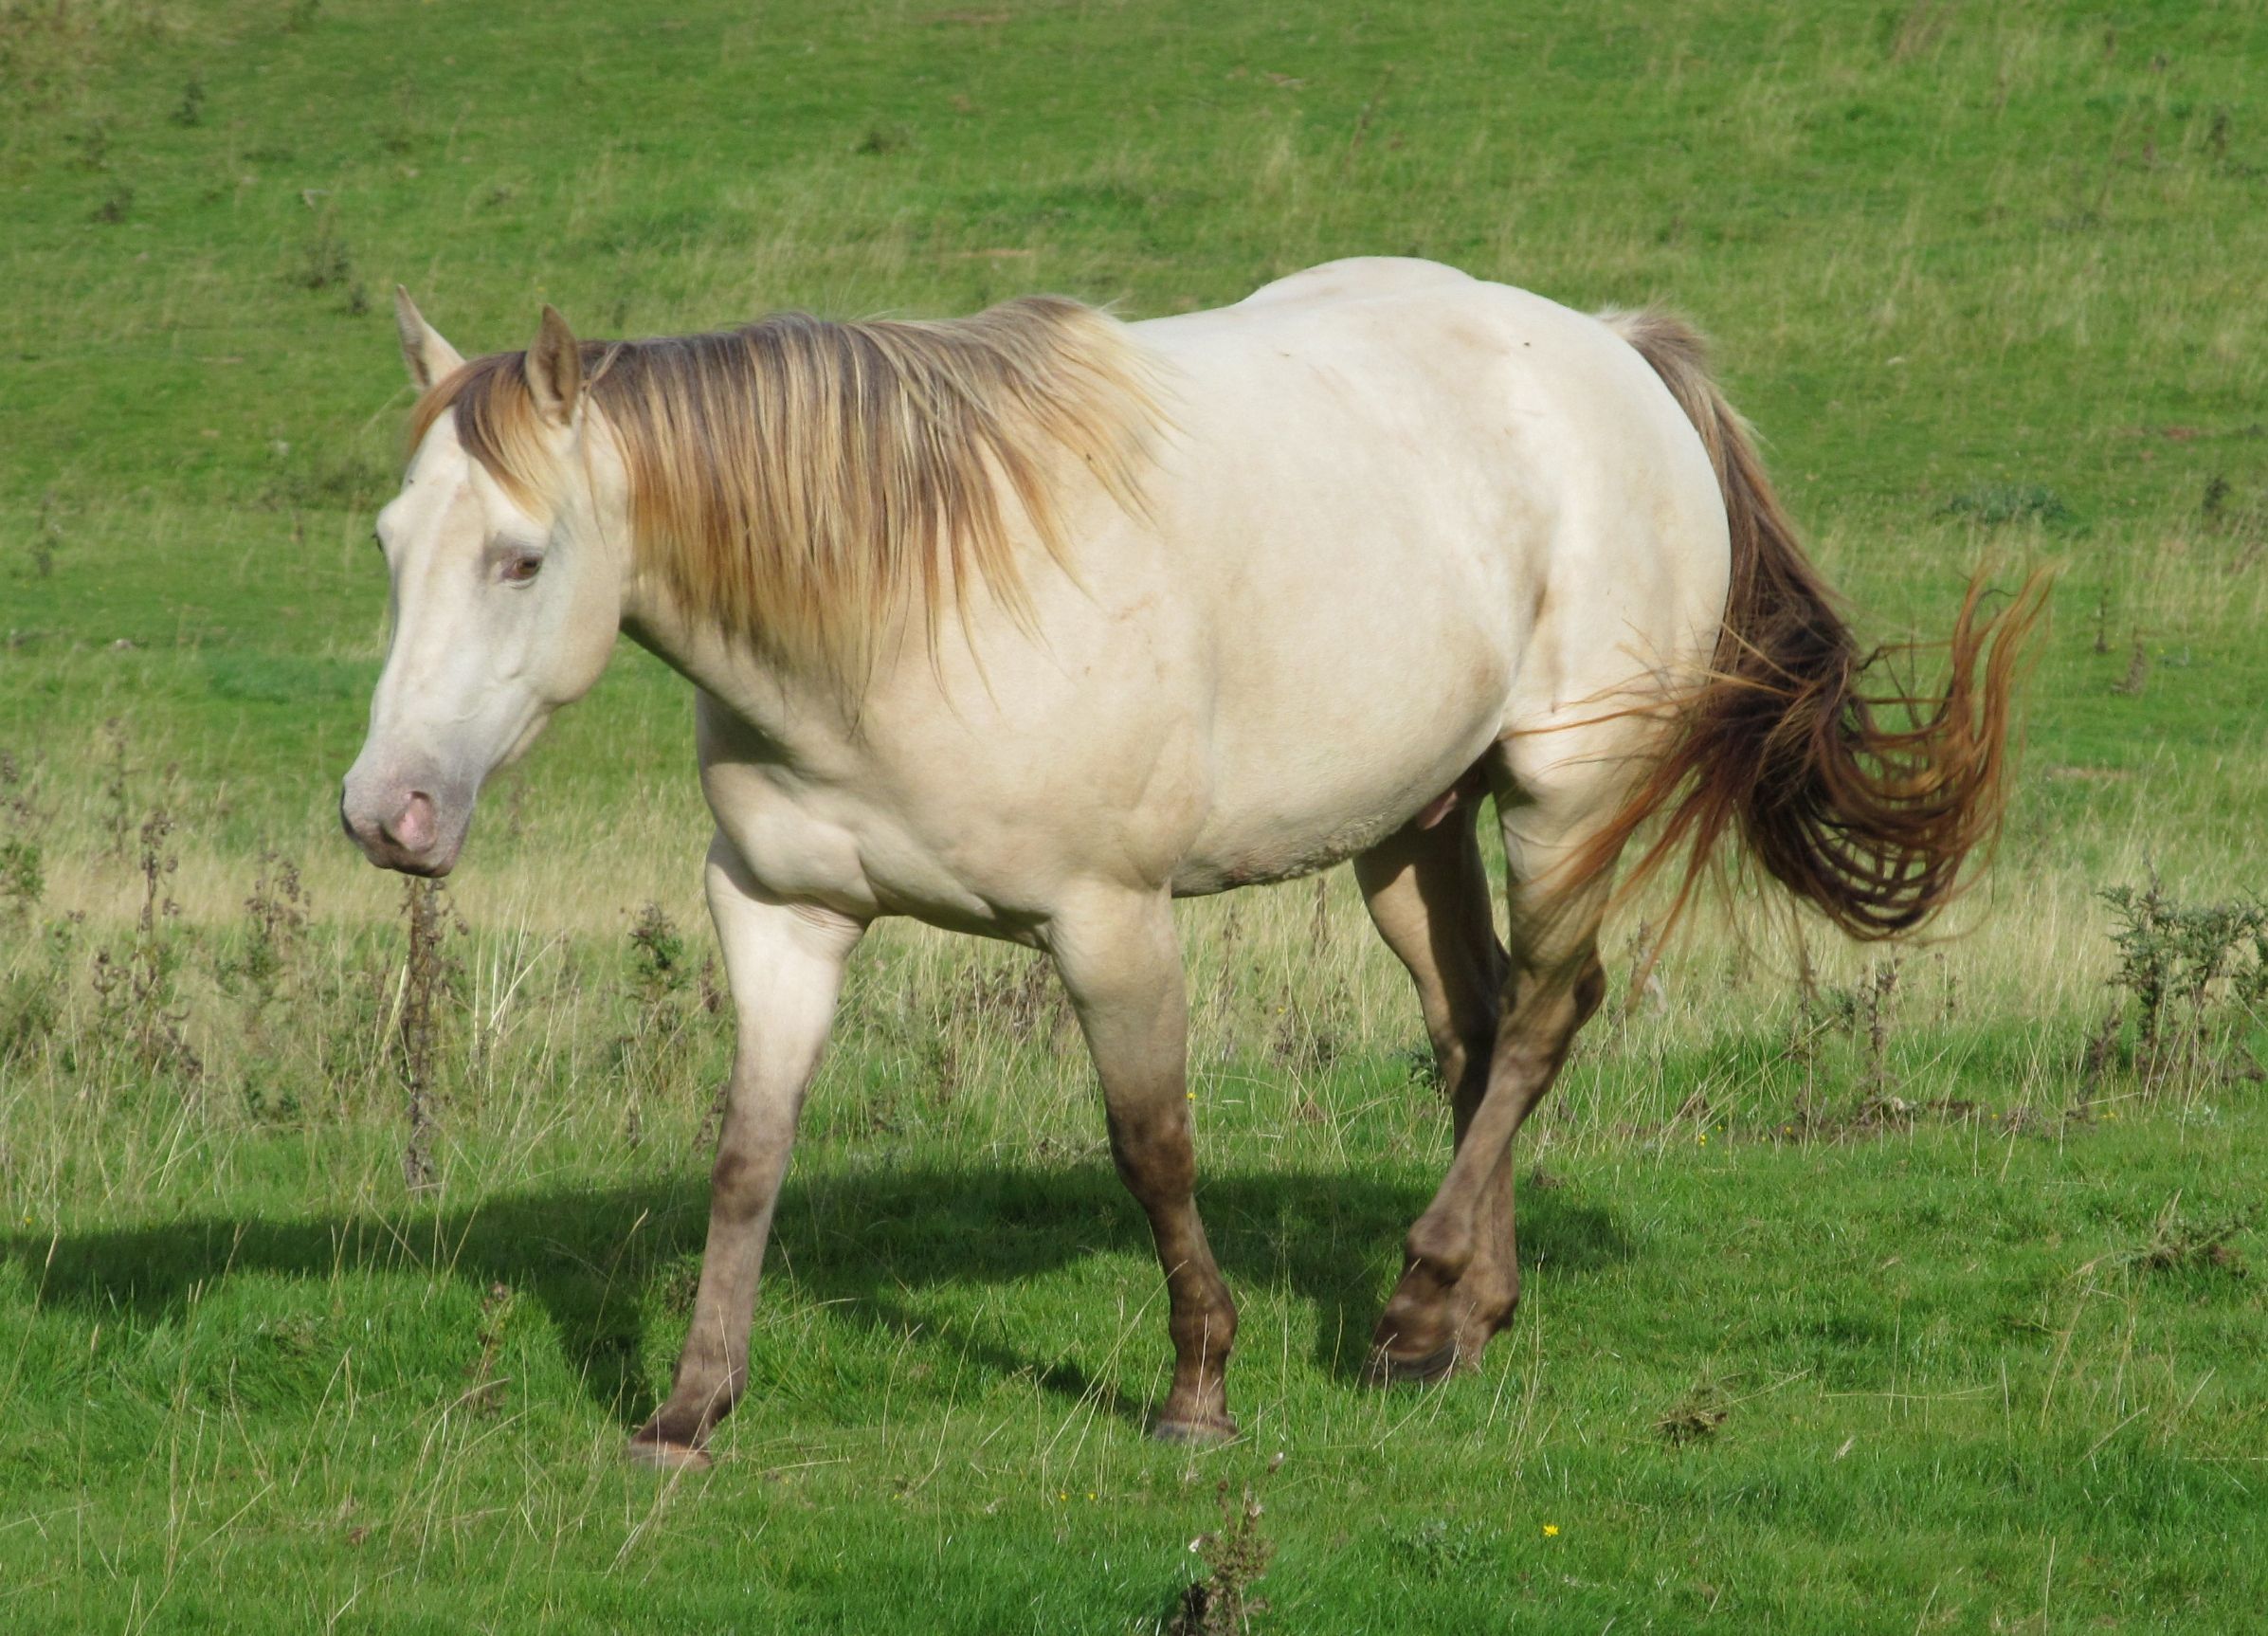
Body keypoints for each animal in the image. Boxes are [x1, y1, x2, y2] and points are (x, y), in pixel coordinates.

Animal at [349, 258, 2041, 1470]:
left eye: (520, 558)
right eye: (387, 545)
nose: (387, 814)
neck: (895, 601)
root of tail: (1616, 352)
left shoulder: (1109, 922)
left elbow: (1151, 1143)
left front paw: (1196, 1390)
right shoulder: (780, 914)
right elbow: (747, 1153)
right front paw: (689, 1410)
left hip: (1566, 793)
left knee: (1547, 1015)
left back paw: (1416, 1302)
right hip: (1409, 829)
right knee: (1476, 1028)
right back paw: (1464, 1320)